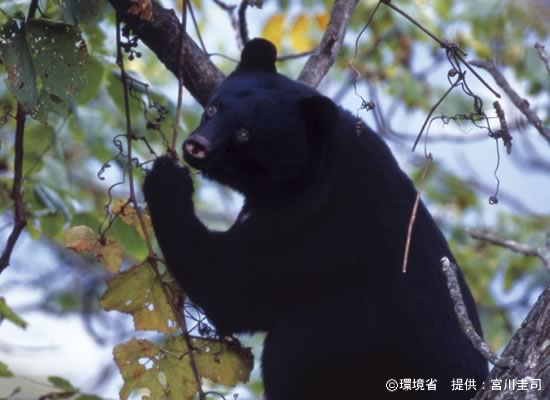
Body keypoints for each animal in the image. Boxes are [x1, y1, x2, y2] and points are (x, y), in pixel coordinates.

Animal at [144, 38, 490, 400]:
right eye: (214, 108)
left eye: (243, 134)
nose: (196, 146)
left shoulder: (313, 224)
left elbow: (233, 286)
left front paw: (166, 180)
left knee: (291, 348)